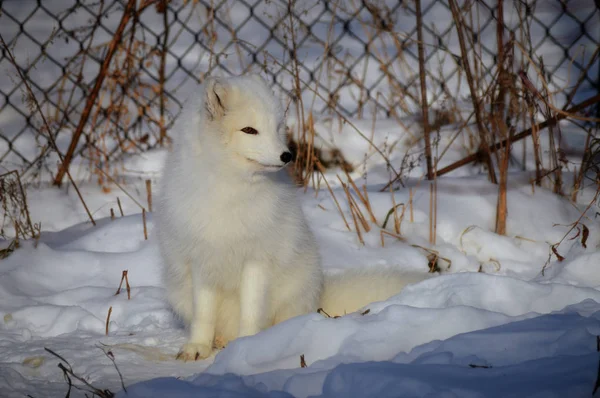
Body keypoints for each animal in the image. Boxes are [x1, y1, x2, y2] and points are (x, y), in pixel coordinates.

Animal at [156, 74, 426, 360]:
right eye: (249, 130)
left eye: (277, 129)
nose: (287, 155)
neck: (231, 191)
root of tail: (319, 295)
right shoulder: (201, 260)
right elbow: (203, 314)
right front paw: (198, 347)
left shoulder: (257, 260)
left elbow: (251, 311)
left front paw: (247, 345)